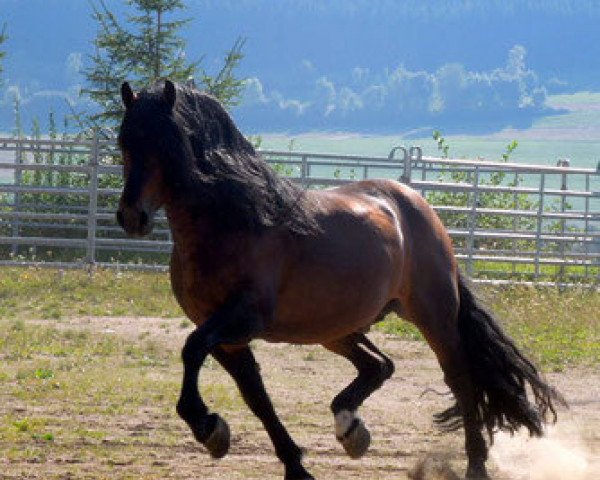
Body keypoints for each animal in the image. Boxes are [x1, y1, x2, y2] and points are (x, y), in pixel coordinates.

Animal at [116, 80, 564, 478]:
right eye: (124, 143)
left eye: (166, 144)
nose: (132, 217)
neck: (234, 222)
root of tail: (415, 202)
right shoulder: (227, 335)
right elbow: (256, 396)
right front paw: (292, 466)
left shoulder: (242, 318)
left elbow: (192, 350)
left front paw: (207, 426)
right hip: (334, 326)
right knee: (380, 365)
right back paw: (351, 429)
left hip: (432, 316)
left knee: (460, 381)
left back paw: (474, 465)